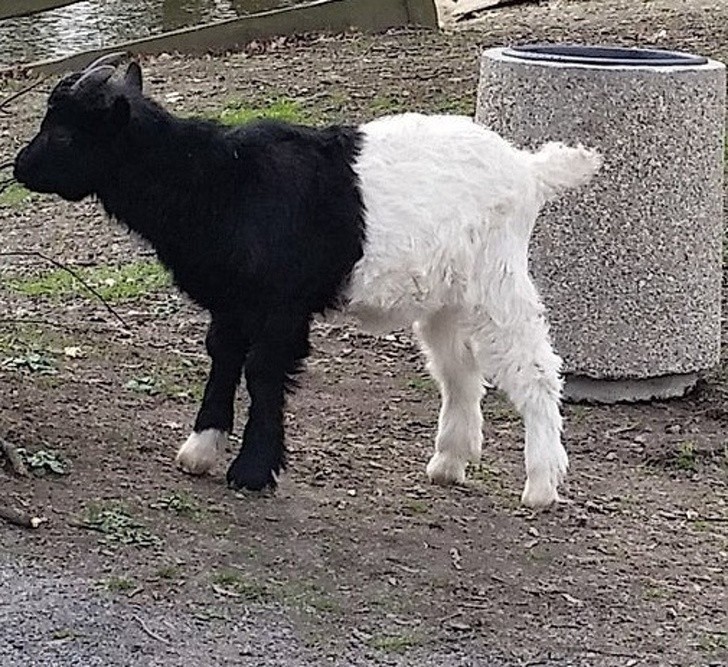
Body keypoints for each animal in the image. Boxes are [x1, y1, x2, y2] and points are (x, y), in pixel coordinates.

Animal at [14, 57, 600, 508]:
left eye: (63, 132)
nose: (19, 168)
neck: (215, 177)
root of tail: (528, 170)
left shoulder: (279, 305)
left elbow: (262, 371)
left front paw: (252, 470)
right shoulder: (232, 301)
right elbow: (223, 356)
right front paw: (201, 450)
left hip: (495, 282)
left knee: (535, 369)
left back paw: (541, 486)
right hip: (445, 298)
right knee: (460, 371)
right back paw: (449, 462)